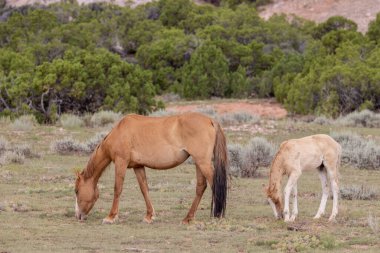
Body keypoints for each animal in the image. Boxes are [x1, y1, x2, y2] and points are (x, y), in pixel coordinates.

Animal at [75, 112, 227, 223]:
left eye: (76, 191)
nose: (78, 216)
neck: (120, 131)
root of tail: (210, 121)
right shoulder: (138, 166)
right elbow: (144, 189)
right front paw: (149, 216)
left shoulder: (121, 162)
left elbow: (117, 188)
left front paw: (111, 217)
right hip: (199, 163)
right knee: (201, 186)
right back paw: (188, 218)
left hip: (203, 163)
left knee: (214, 184)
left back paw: (218, 215)